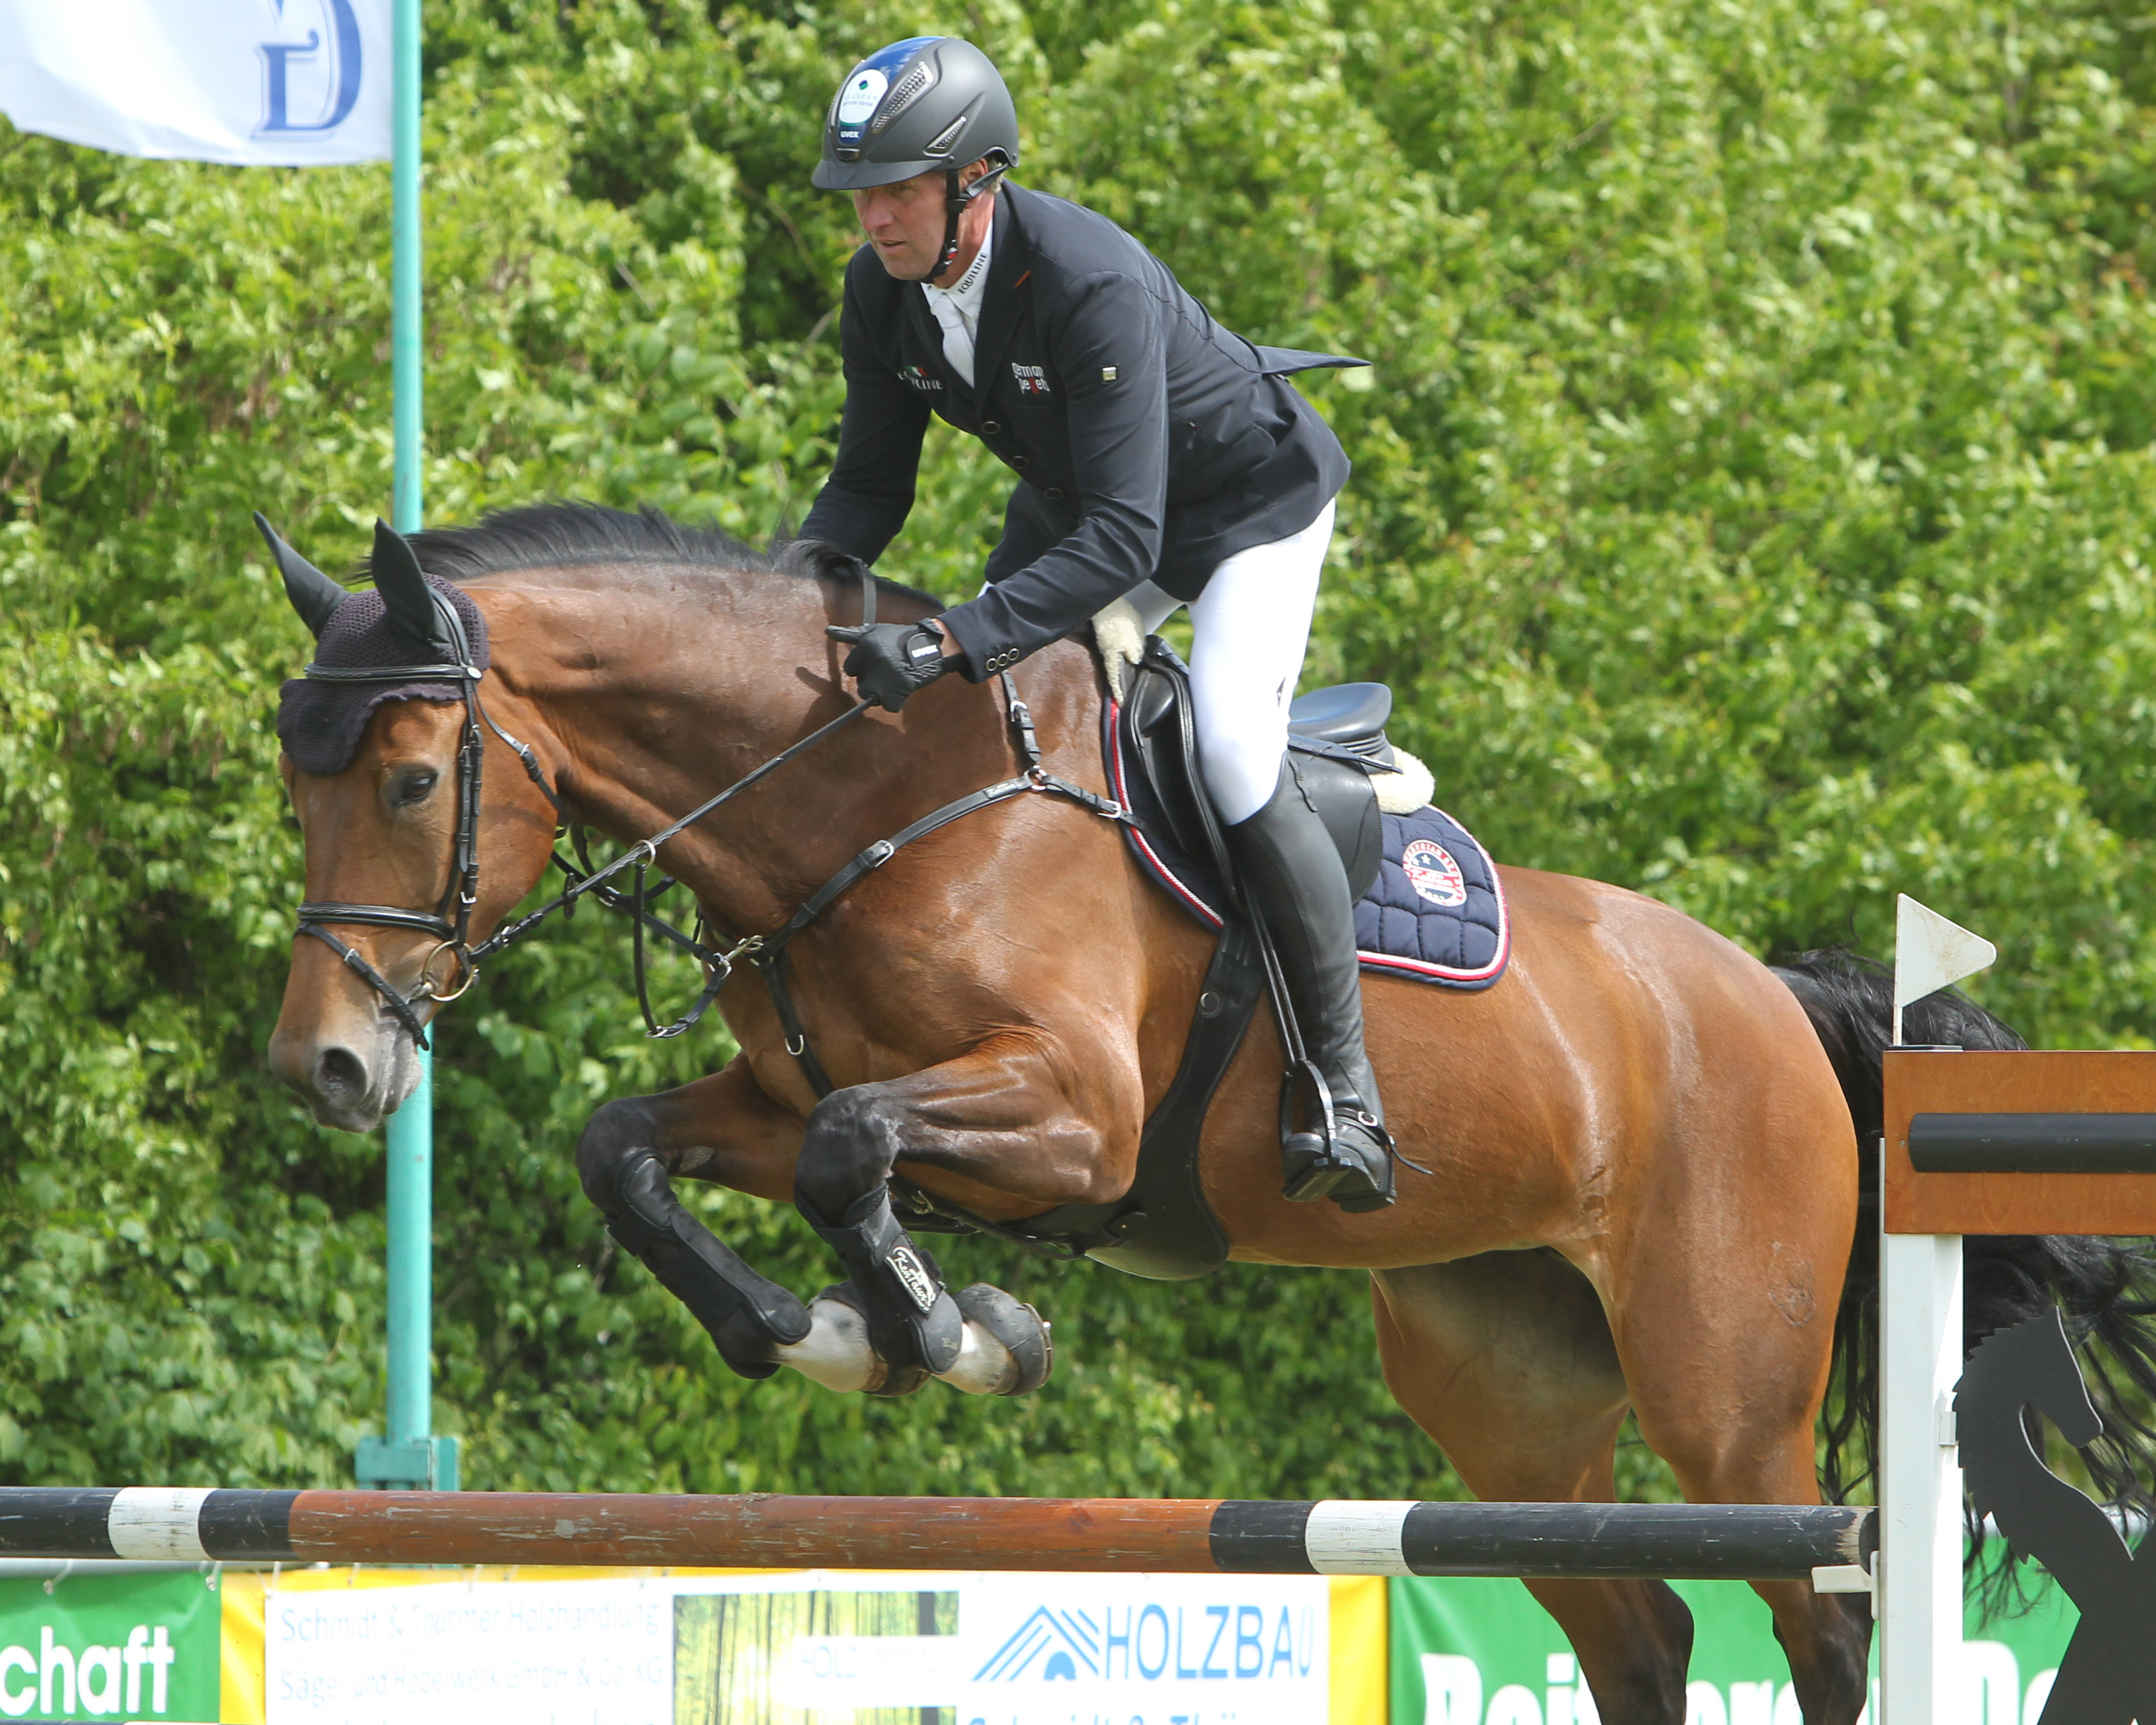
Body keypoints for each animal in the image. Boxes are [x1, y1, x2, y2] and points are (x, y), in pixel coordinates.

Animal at [265, 502, 2156, 1725]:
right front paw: (824, 1333)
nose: (326, 1067)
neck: (869, 795)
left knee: (1814, 1624)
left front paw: (952, 1333)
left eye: (412, 780)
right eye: (297, 785)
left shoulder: (1073, 1120)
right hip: (1506, 1388)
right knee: (1634, 1641)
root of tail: (1773, 995)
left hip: (1722, 1392)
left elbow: (847, 1148)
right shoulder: (773, 1084)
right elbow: (640, 1151)